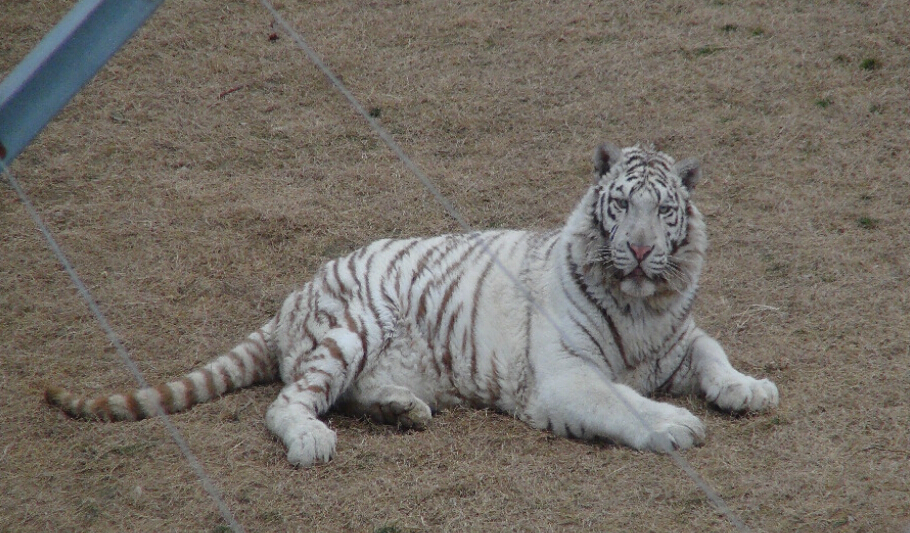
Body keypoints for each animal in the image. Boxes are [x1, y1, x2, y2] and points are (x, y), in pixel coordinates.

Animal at [46, 141, 780, 466]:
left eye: (664, 211)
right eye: (622, 205)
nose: (638, 248)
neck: (641, 304)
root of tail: (289, 300)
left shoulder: (675, 338)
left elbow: (712, 350)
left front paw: (748, 388)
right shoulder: (567, 375)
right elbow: (619, 399)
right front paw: (674, 425)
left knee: (348, 392)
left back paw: (401, 410)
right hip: (352, 328)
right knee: (287, 402)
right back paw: (312, 439)